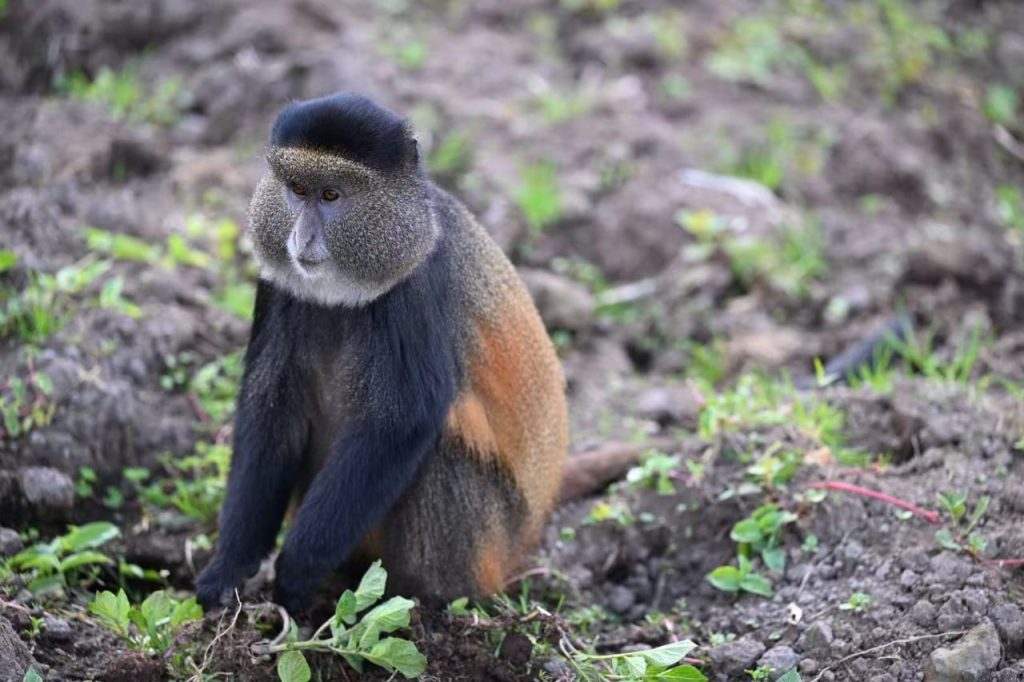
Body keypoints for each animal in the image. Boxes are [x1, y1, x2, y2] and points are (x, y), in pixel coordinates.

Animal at [195, 92, 569, 614]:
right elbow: (270, 409)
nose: (302, 239)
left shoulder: (415, 289)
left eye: (332, 196)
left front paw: (295, 572)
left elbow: (399, 423)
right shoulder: (279, 289)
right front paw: (228, 566)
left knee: (440, 452)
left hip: (488, 538)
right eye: (297, 189)